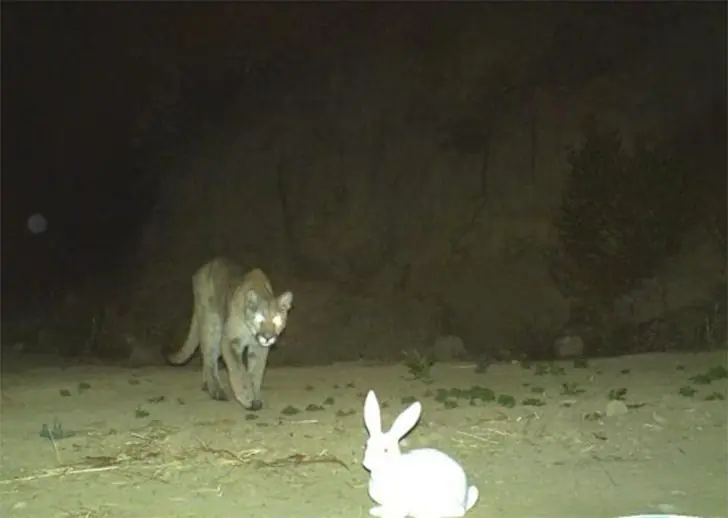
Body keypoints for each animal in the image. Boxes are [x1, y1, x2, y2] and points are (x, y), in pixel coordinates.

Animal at [362, 390, 479, 518]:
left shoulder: (401, 503)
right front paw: (375, 511)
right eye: (366, 445)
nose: (367, 463)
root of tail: (464, 501)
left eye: (385, 450)